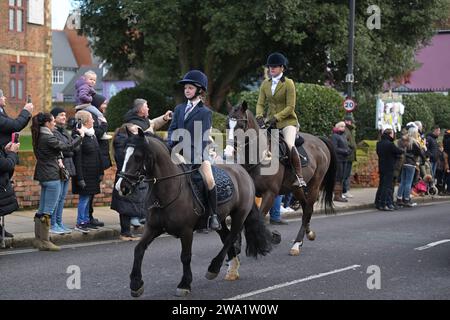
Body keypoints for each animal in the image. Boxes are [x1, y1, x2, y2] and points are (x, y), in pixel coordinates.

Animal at [115, 128, 270, 298]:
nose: (121, 187)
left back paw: (214, 268)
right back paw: (232, 269)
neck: (167, 190)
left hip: (239, 215)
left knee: (231, 237)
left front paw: (184, 284)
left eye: (137, 156)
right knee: (225, 237)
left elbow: (185, 256)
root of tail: (242, 171)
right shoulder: (153, 228)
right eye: (123, 154)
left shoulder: (186, 231)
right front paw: (136, 284)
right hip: (220, 219)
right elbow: (138, 249)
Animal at [227, 101, 336, 256]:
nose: (228, 152)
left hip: (314, 185)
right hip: (296, 188)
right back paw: (307, 234)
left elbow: (259, 218)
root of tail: (319, 141)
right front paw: (236, 246)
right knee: (305, 207)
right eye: (227, 124)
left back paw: (296, 244)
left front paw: (268, 239)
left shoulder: (270, 193)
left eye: (240, 125)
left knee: (308, 209)